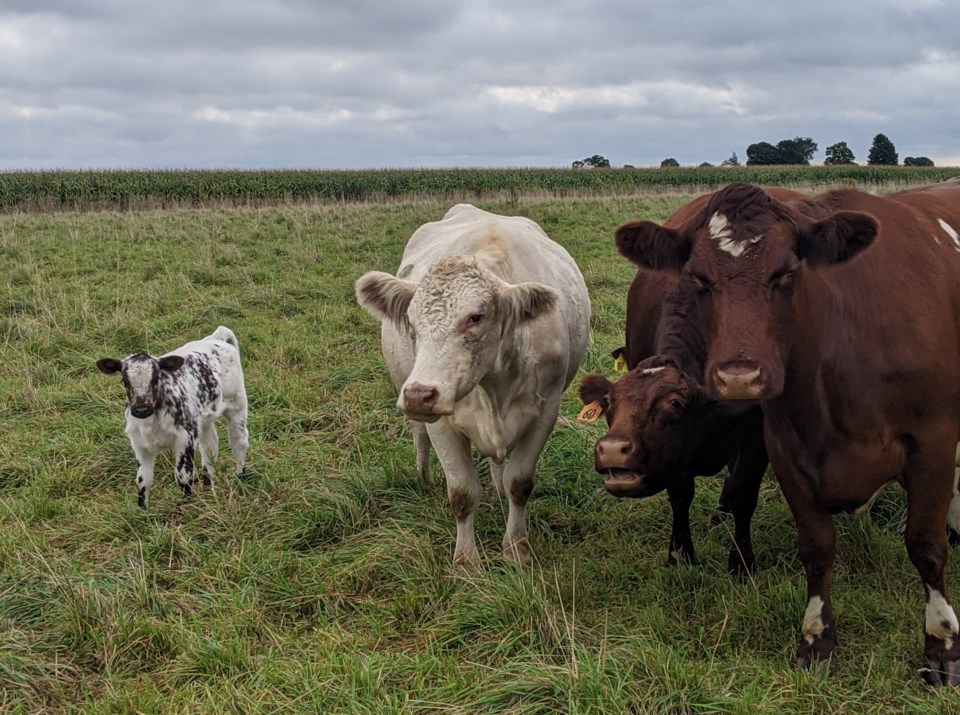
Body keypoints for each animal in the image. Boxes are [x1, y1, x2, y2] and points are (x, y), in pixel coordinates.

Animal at [96, 326, 248, 510]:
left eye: (156, 378)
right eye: (124, 380)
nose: (141, 409)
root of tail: (216, 338)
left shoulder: (185, 438)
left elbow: (183, 476)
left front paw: (187, 506)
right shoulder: (139, 444)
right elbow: (142, 480)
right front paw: (142, 511)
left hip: (237, 405)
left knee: (239, 443)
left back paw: (239, 479)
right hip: (204, 420)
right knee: (210, 448)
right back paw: (209, 489)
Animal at [354, 204, 588, 568]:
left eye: (476, 317)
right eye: (411, 320)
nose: (419, 395)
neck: (492, 385)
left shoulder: (545, 411)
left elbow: (520, 483)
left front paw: (516, 548)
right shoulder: (441, 422)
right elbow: (462, 493)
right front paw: (466, 561)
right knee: (419, 436)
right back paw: (424, 477)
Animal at [616, 179, 960, 684]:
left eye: (785, 273)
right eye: (698, 278)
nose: (739, 376)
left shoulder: (932, 441)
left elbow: (926, 546)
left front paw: (941, 645)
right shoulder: (785, 448)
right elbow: (814, 547)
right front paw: (816, 641)